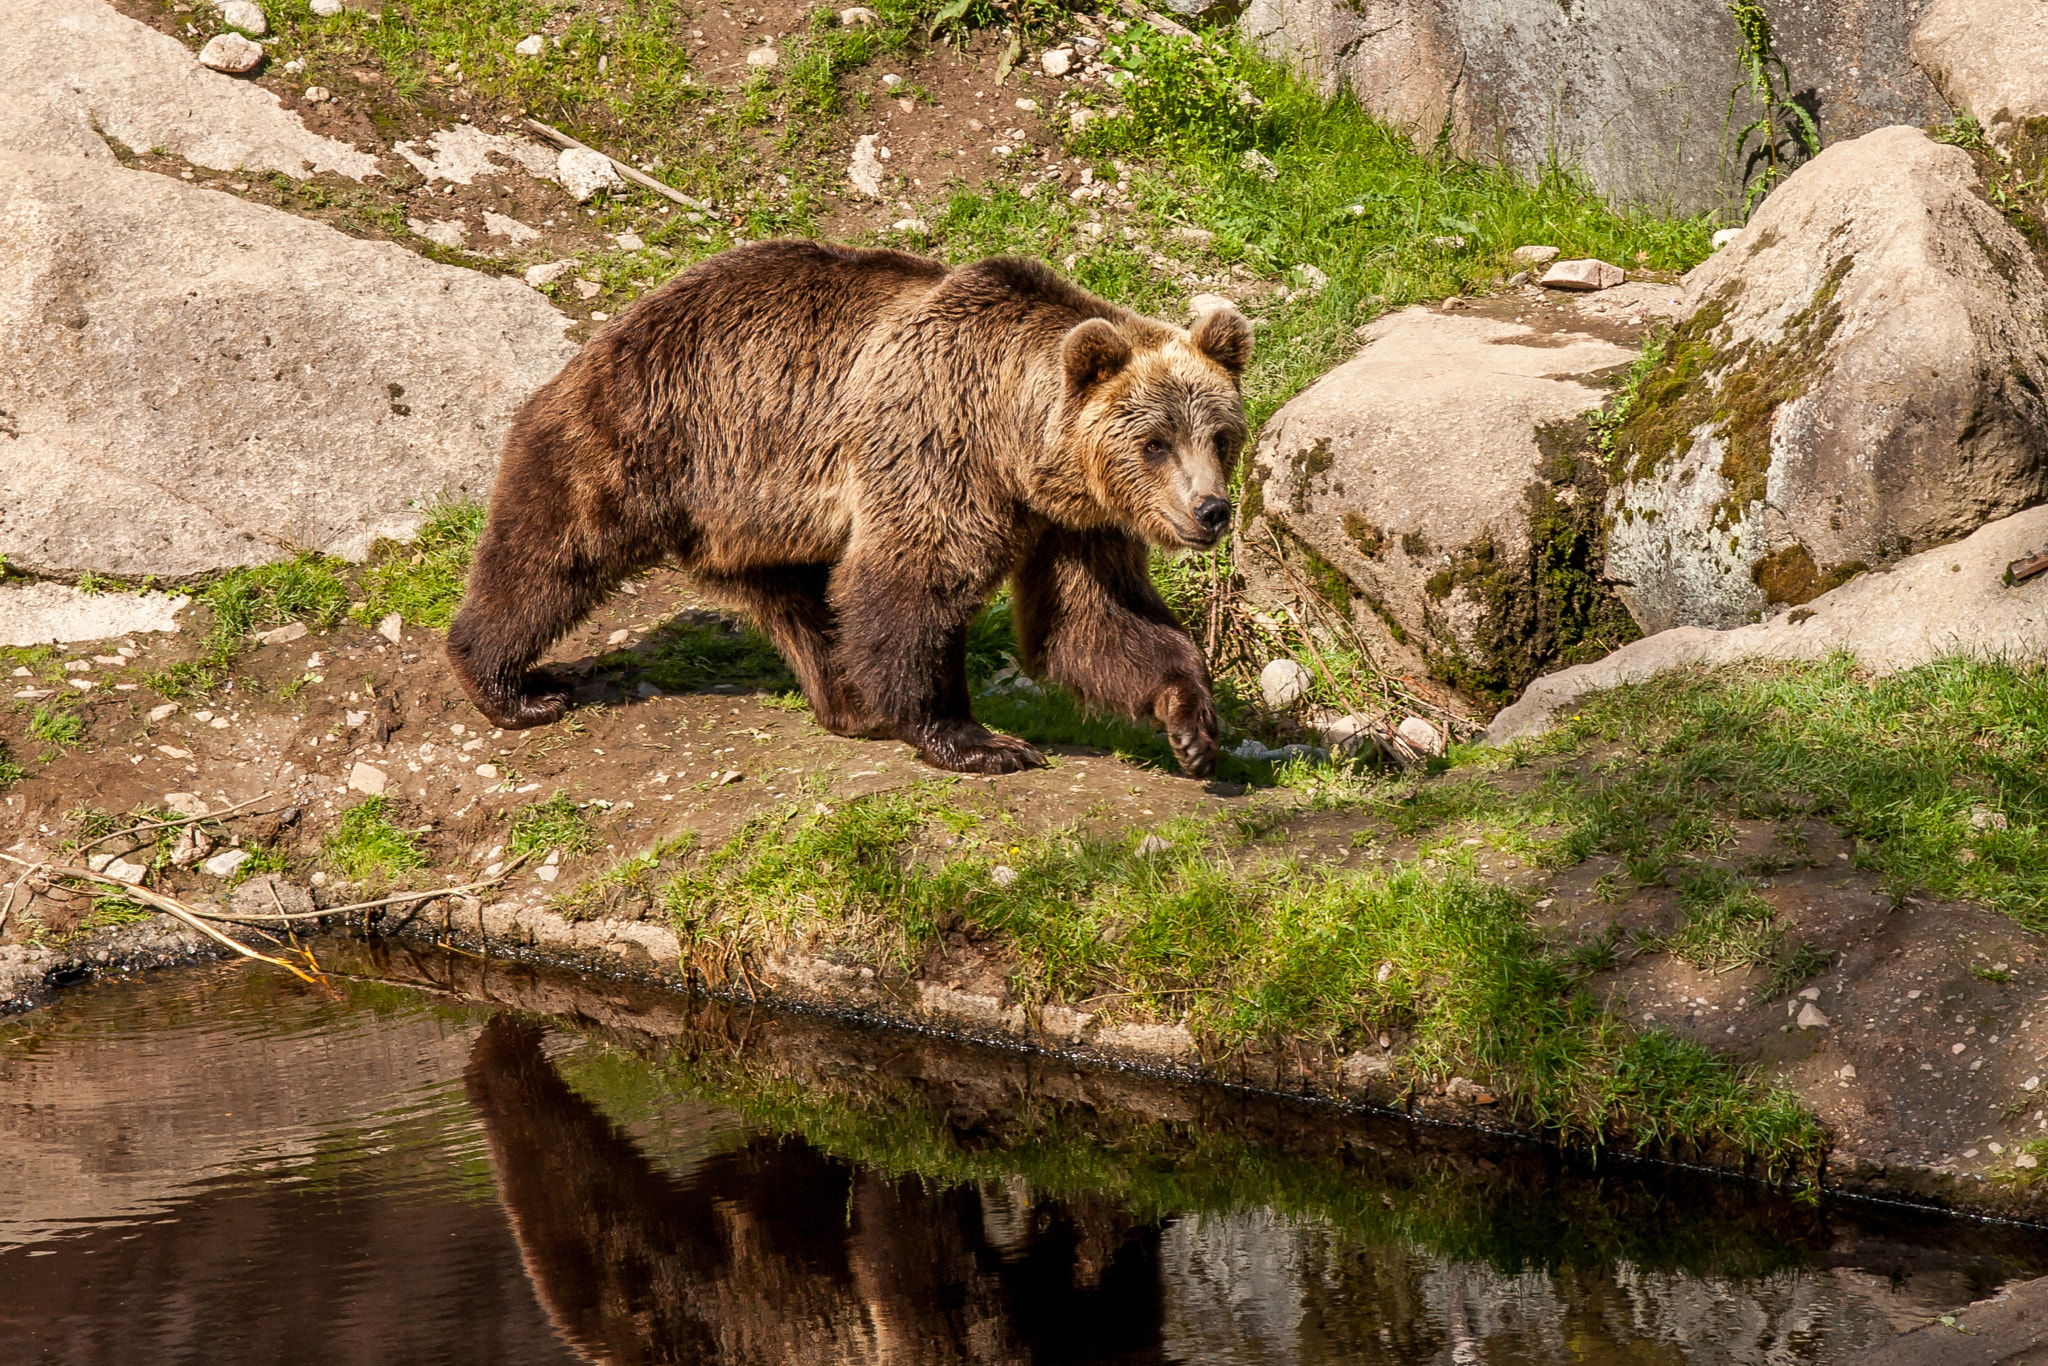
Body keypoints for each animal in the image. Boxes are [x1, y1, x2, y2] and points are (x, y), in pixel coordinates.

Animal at [445, 239, 1252, 777]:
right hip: (649, 432)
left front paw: (1190, 723)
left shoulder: (1076, 522)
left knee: (802, 601)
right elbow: (914, 584)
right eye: (1154, 442)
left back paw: (849, 701)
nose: (1211, 510)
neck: (1019, 449)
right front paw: (977, 739)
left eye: (1220, 435)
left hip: (762, 510)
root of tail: (622, 319)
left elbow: (1091, 619)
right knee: (553, 543)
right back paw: (509, 685)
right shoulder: (936, 447)